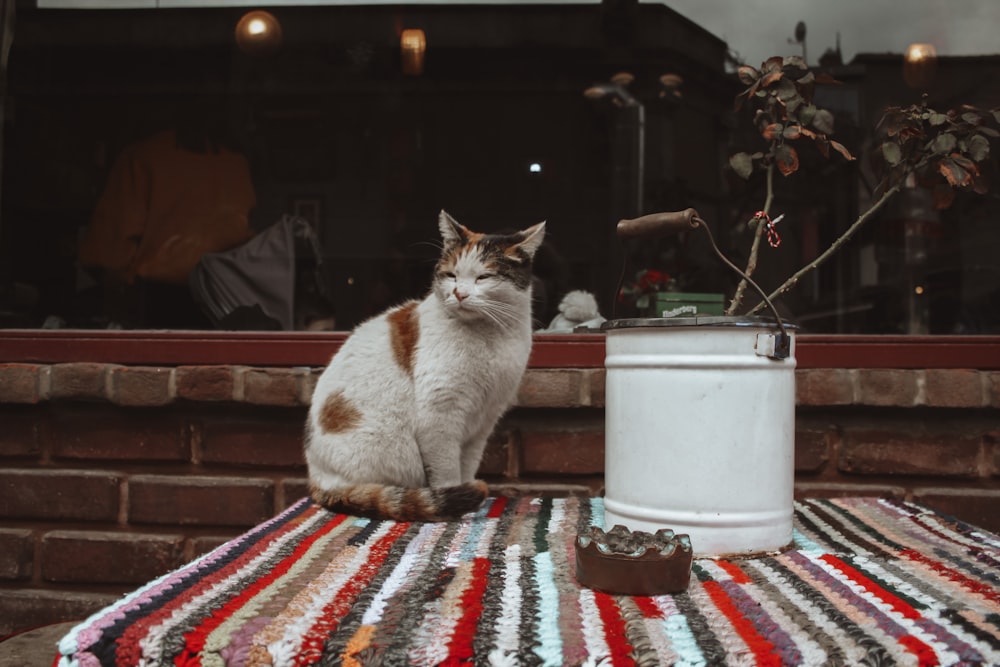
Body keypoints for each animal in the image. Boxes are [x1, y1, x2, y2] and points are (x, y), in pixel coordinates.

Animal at [302, 211, 544, 524]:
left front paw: (469, 497)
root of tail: (317, 479)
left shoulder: (484, 421)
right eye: (452, 275)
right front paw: (455, 502)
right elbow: (447, 471)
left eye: (484, 277)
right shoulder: (439, 416)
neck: (490, 337)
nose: (459, 293)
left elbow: (468, 465)